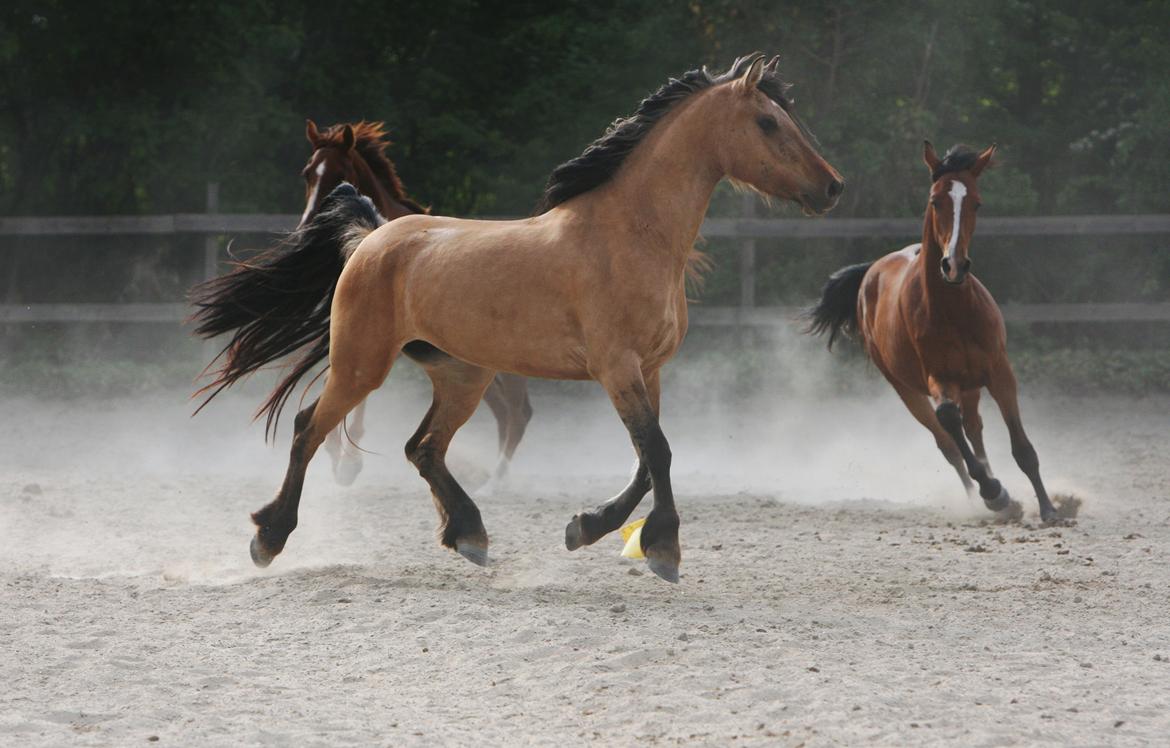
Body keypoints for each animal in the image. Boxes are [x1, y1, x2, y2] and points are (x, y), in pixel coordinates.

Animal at [294, 119, 533, 489]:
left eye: (339, 173)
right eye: (308, 173)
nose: (305, 230)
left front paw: (349, 461)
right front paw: (337, 456)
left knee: (518, 413)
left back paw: (497, 479)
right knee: (505, 412)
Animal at [809, 143, 1057, 524]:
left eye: (977, 203)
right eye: (935, 201)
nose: (954, 265)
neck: (953, 311)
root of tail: (871, 271)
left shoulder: (999, 372)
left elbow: (1022, 448)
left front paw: (1049, 508)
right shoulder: (939, 379)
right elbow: (949, 424)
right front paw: (994, 493)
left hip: (970, 386)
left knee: (974, 430)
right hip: (907, 390)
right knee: (949, 443)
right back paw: (985, 497)